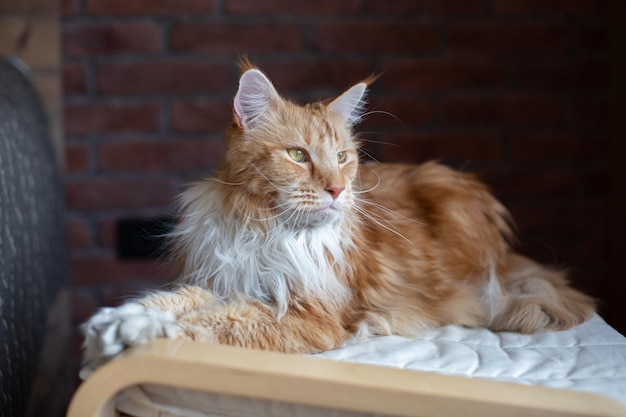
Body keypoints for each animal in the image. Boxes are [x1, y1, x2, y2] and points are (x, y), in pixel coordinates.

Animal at [80, 59, 592, 376]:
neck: (263, 230)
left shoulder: (308, 315)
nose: (337, 189)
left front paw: (134, 338)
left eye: (343, 157)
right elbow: (171, 302)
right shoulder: (223, 281)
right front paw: (115, 326)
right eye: (297, 155)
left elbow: (207, 325)